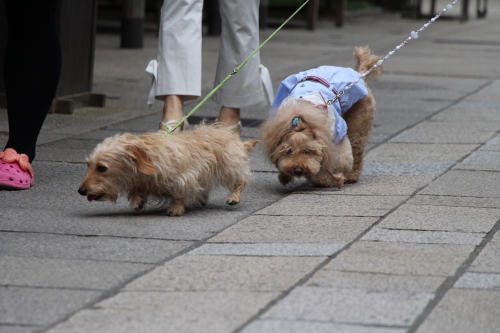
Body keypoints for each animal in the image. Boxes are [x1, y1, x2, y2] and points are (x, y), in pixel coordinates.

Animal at [79, 124, 258, 215]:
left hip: (230, 166)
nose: (81, 191)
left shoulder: (184, 177)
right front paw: (137, 200)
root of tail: (233, 136)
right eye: (88, 165)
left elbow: (179, 193)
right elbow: (136, 190)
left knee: (240, 182)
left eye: (102, 168)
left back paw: (233, 196)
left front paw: (176, 208)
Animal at [262, 45, 382, 188]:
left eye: (308, 150)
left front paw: (333, 177)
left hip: (360, 118)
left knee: (356, 147)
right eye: (288, 151)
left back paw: (352, 175)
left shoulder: (335, 134)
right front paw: (321, 179)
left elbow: (339, 160)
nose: (297, 170)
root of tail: (359, 74)